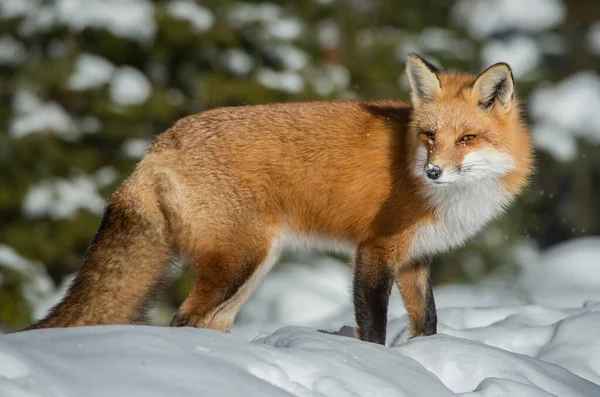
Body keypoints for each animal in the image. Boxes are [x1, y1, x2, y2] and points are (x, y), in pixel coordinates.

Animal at [25, 54, 532, 344]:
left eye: (467, 138)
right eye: (429, 135)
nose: (432, 172)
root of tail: (158, 144)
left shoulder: (415, 258)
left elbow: (426, 323)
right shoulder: (374, 251)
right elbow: (372, 330)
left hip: (252, 267)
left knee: (208, 322)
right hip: (239, 261)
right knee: (182, 320)